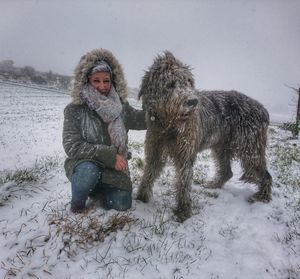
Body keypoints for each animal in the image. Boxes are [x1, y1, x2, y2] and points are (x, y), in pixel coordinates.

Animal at [137, 51, 274, 222]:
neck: (169, 126)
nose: (193, 102)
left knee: (265, 174)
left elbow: (183, 182)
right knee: (227, 171)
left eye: (189, 82)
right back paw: (214, 185)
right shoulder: (155, 149)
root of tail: (263, 110)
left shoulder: (185, 154)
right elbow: (149, 173)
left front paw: (183, 211)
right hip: (221, 147)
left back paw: (262, 196)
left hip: (249, 148)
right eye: (170, 84)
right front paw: (141, 197)